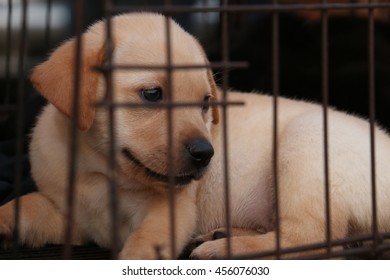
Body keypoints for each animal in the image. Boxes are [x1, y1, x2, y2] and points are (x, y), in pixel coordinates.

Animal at [0, 12, 390, 258]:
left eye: (205, 103)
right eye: (152, 94)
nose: (206, 154)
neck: (99, 173)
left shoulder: (168, 210)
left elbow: (145, 243)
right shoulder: (68, 215)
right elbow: (26, 205)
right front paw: (5, 218)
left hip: (305, 150)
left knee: (312, 240)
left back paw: (228, 249)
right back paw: (227, 234)